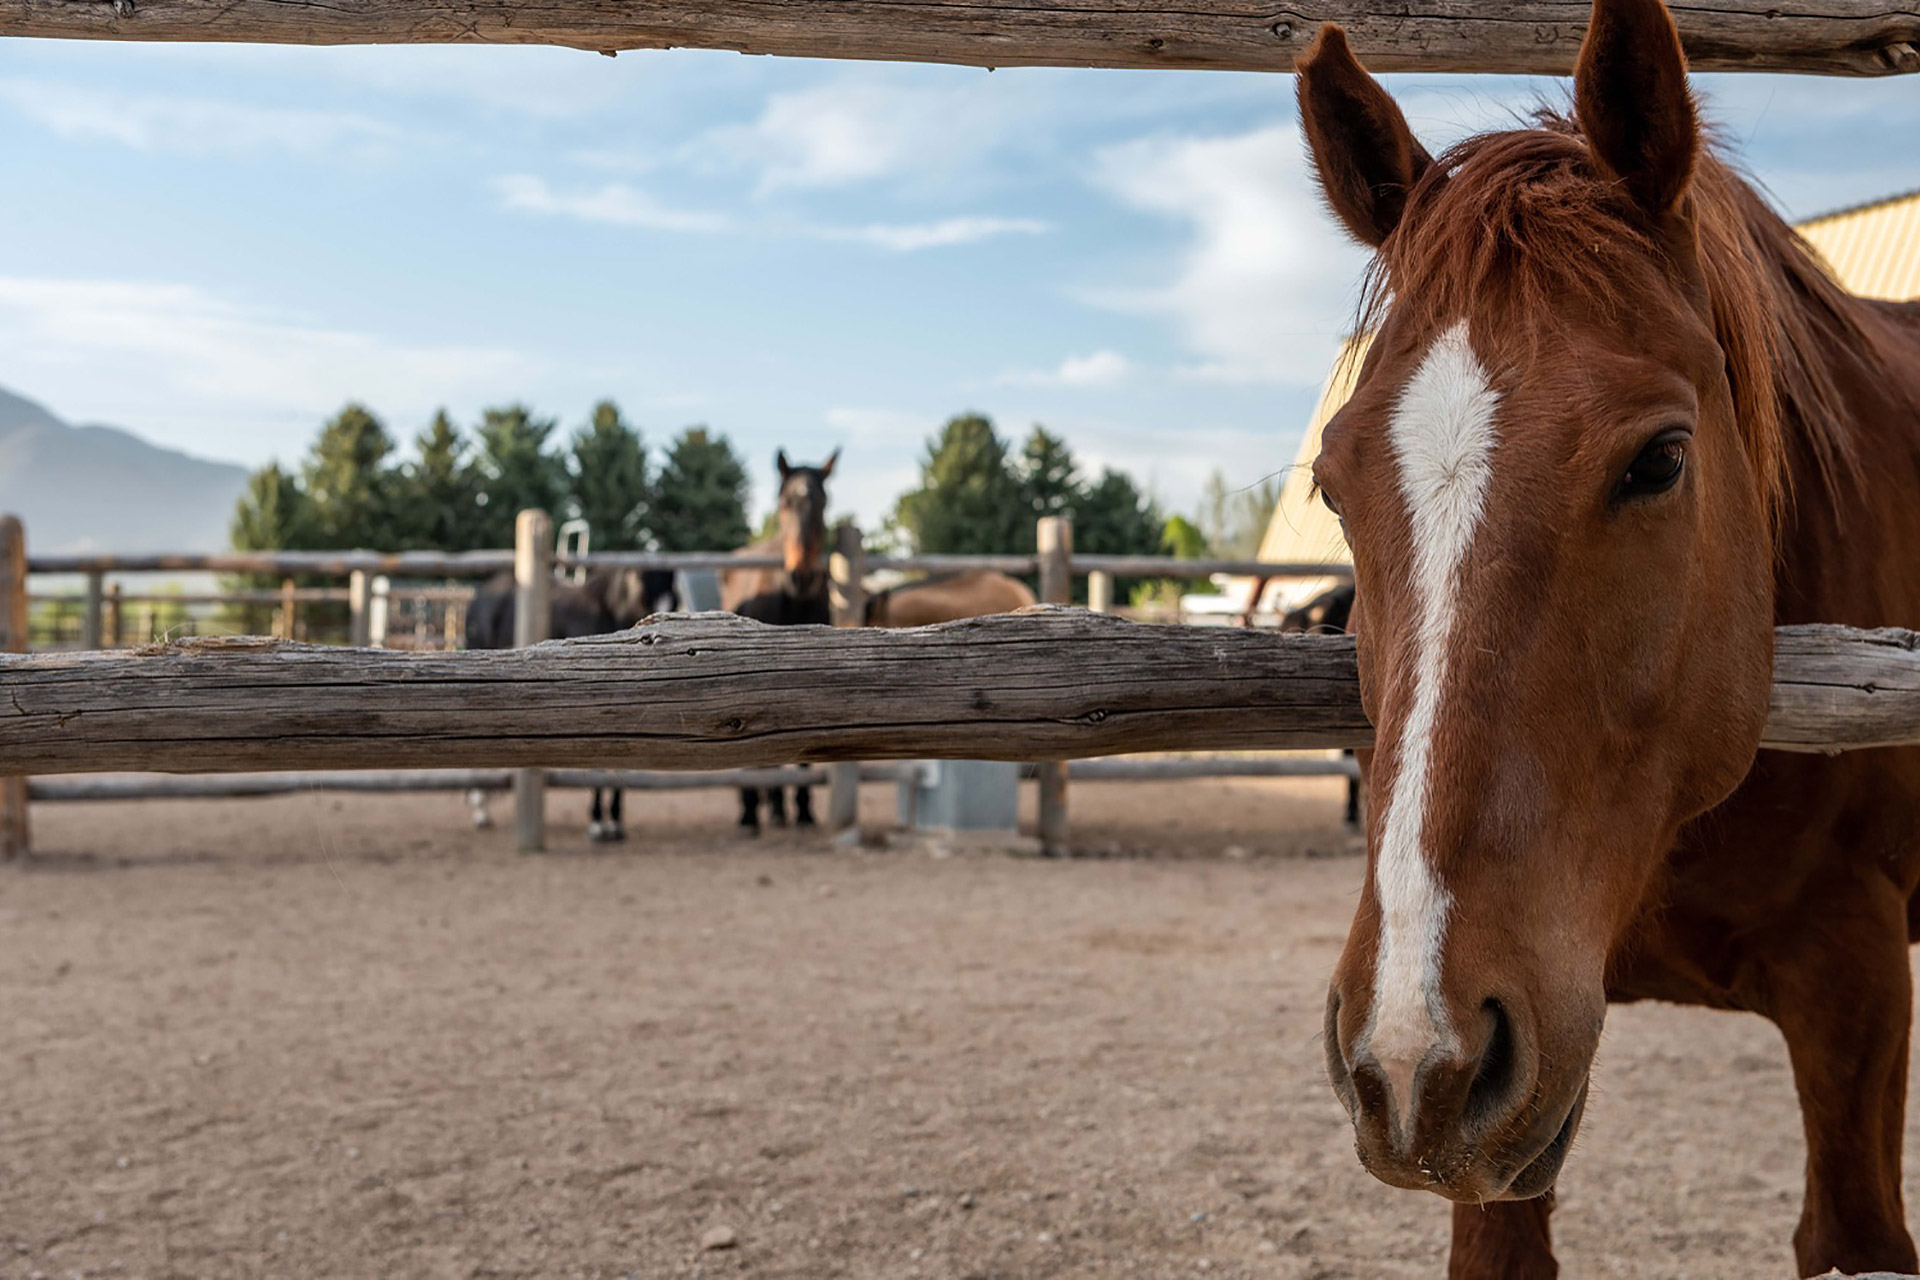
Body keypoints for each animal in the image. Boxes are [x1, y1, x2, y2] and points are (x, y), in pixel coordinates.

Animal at [725, 449, 837, 834]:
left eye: (824, 503)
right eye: (785, 502)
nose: (801, 577)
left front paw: (802, 810)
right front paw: (759, 809)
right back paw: (753, 809)